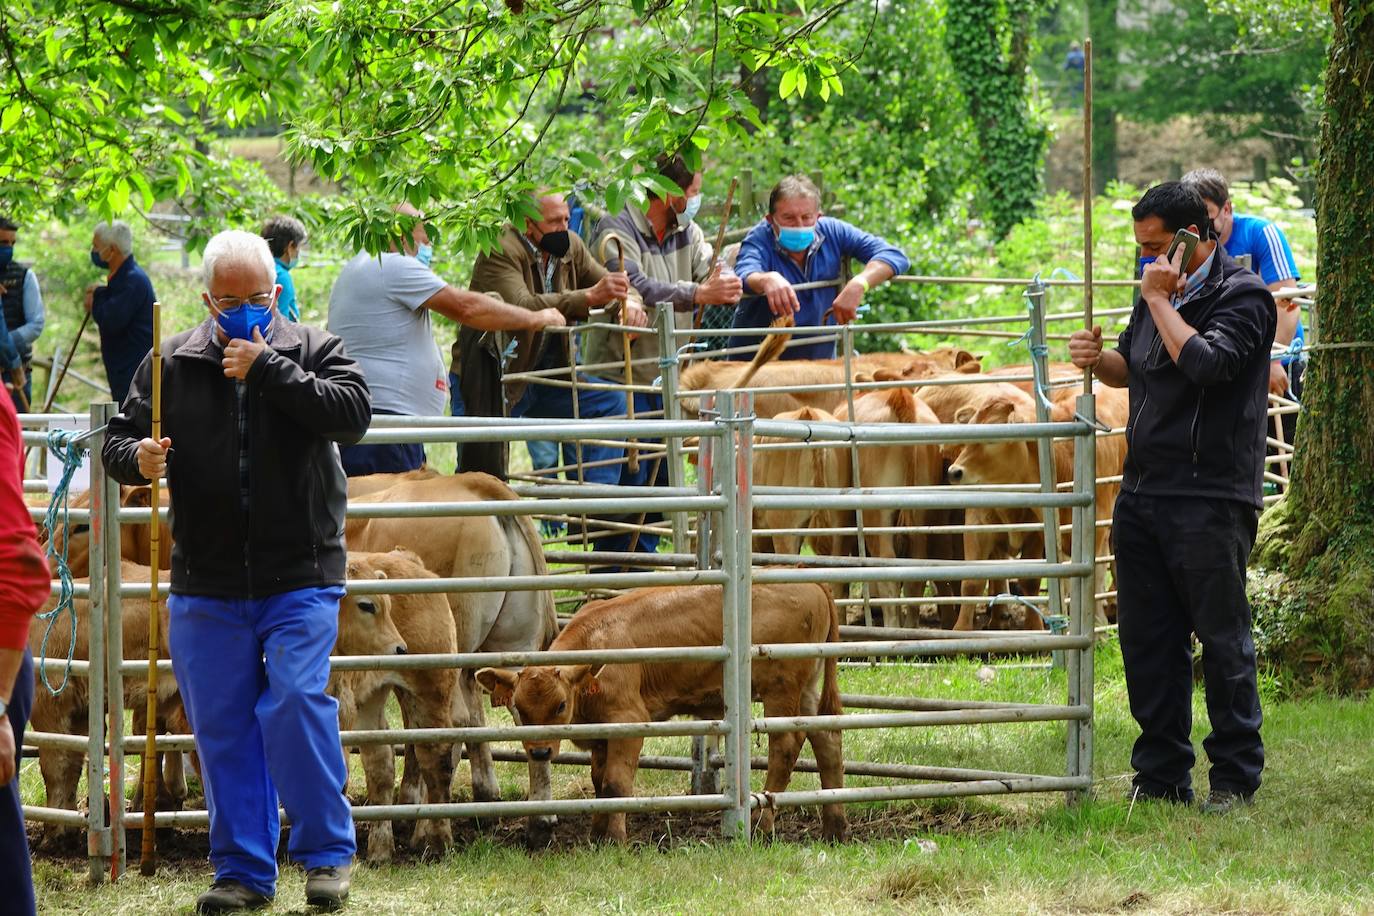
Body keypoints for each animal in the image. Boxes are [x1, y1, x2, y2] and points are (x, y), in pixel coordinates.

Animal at [328, 552, 453, 867]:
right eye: (367, 605)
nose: (400, 648)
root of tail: (409, 558)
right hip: (371, 702)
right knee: (381, 766)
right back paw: (381, 847)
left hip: (429, 693)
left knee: (436, 760)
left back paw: (438, 839)